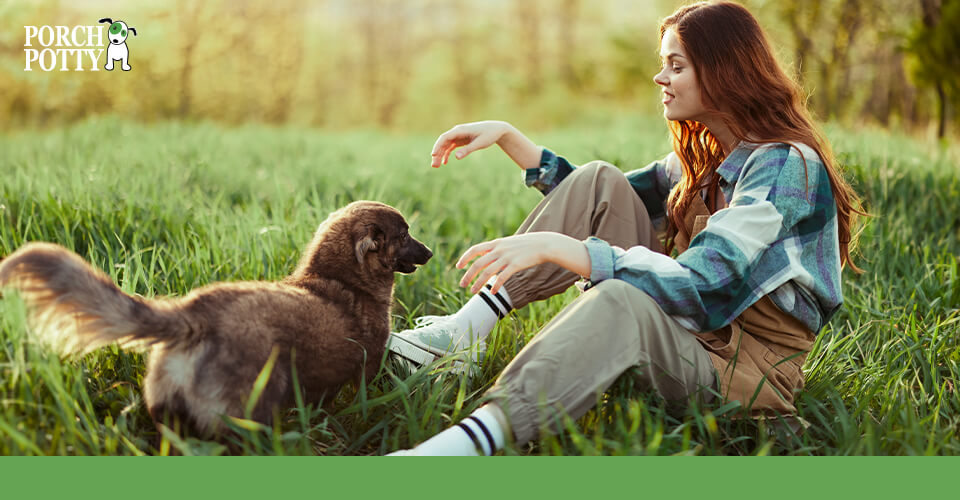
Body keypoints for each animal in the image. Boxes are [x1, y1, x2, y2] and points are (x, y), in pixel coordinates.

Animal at [0, 201, 432, 436]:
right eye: (404, 235)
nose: (430, 253)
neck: (339, 278)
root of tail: (193, 314)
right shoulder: (365, 369)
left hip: (169, 414)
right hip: (250, 409)